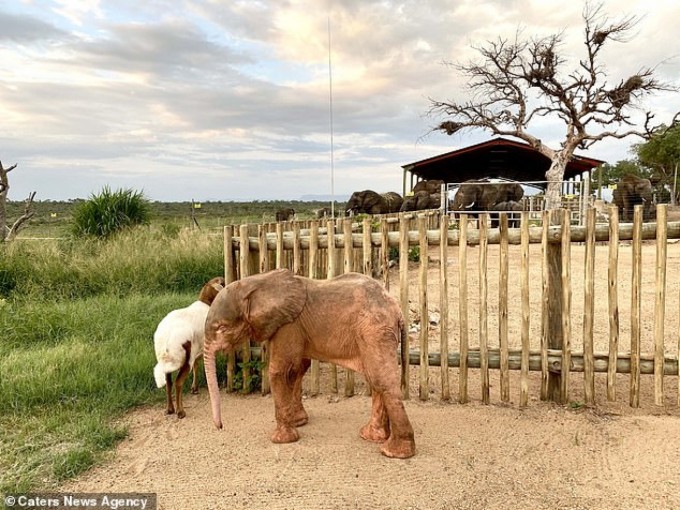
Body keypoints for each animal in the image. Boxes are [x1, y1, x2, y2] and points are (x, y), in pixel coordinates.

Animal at [154, 278, 226, 418]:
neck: (206, 303)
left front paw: (194, 388)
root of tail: (167, 341)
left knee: (169, 383)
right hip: (185, 359)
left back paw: (169, 409)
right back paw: (180, 411)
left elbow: (197, 365)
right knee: (178, 383)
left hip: (169, 361)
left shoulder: (198, 348)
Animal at [203, 268, 414, 460]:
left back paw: (393, 452)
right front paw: (298, 422)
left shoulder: (287, 326)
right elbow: (298, 368)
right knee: (375, 379)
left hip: (375, 331)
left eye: (222, 328)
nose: (220, 427)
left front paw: (281, 440)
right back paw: (371, 436)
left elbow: (279, 371)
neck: (256, 283)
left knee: (381, 381)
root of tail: (398, 310)